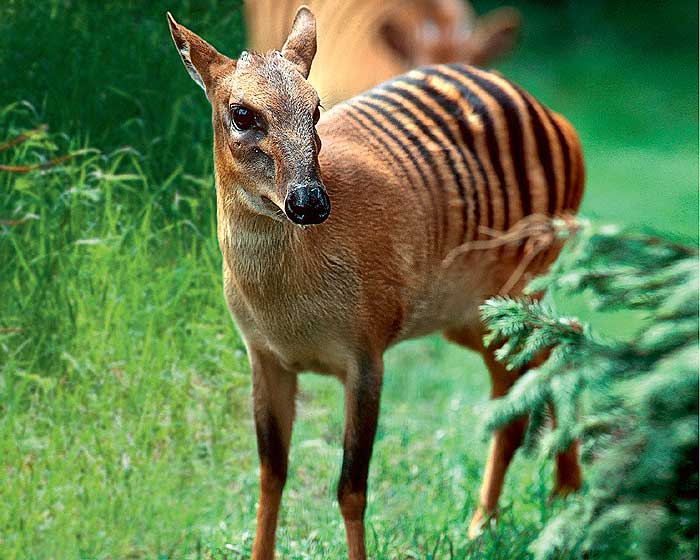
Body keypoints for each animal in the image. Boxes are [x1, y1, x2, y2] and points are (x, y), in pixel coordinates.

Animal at [167, 5, 584, 560]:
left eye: (316, 109)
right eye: (242, 113)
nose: (310, 201)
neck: (290, 311)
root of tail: (563, 126)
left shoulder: (366, 351)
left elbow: (352, 487)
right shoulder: (263, 354)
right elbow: (270, 474)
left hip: (524, 273)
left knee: (557, 345)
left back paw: (544, 505)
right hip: (468, 311)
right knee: (528, 374)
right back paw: (518, 512)